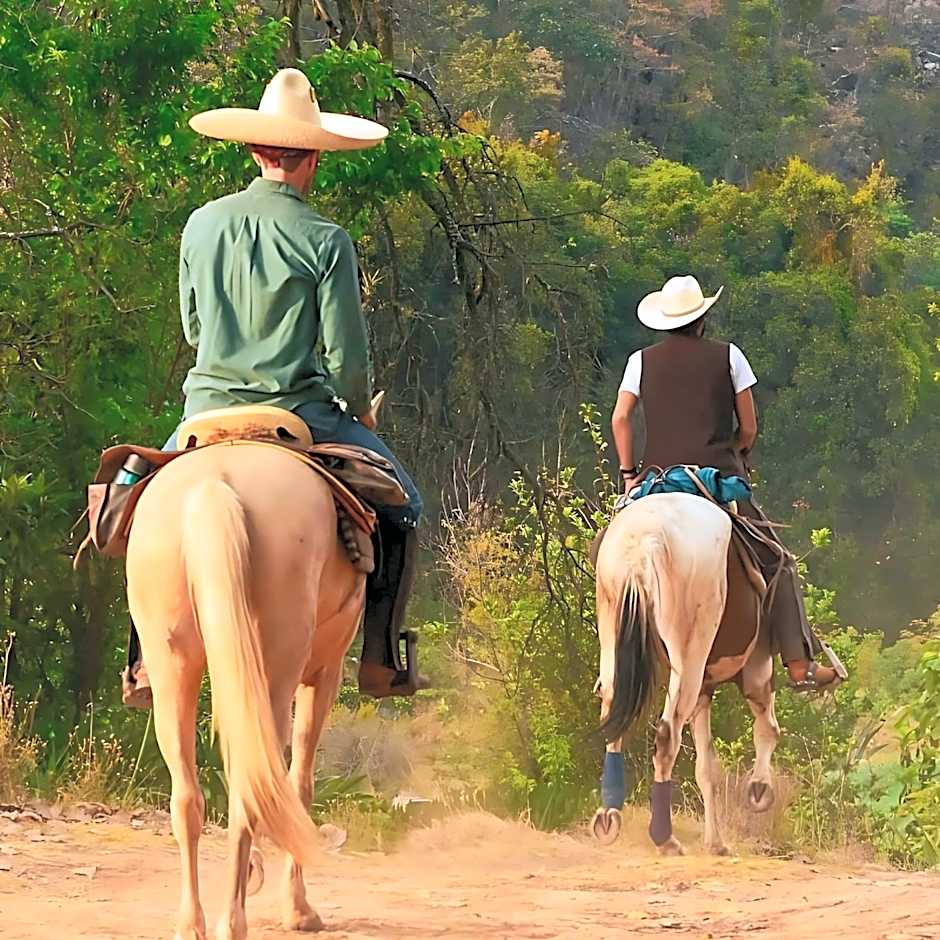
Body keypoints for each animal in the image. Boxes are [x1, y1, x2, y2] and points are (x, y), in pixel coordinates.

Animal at [126, 419, 368, 940]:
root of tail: (214, 487)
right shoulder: (324, 673)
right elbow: (299, 783)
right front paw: (298, 908)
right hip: (278, 668)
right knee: (254, 790)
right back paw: (232, 921)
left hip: (174, 665)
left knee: (189, 796)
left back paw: (191, 922)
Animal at [590, 492, 778, 855]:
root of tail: (643, 545)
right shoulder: (756, 666)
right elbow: (767, 725)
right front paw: (760, 790)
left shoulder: (704, 689)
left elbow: (706, 766)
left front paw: (716, 841)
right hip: (688, 651)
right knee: (667, 734)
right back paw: (664, 837)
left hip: (613, 626)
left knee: (612, 711)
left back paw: (608, 816)